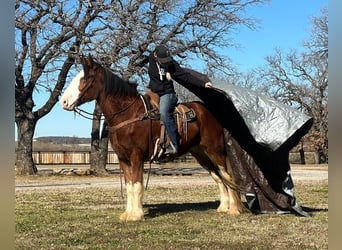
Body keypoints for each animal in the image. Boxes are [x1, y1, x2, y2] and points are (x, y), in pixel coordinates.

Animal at [59, 56, 246, 221]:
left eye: (85, 78)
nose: (64, 102)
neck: (129, 114)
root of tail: (212, 112)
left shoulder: (136, 156)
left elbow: (136, 184)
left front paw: (136, 215)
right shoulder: (123, 158)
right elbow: (129, 186)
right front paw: (128, 214)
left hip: (215, 150)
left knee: (227, 175)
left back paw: (234, 209)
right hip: (200, 153)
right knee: (218, 177)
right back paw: (223, 207)